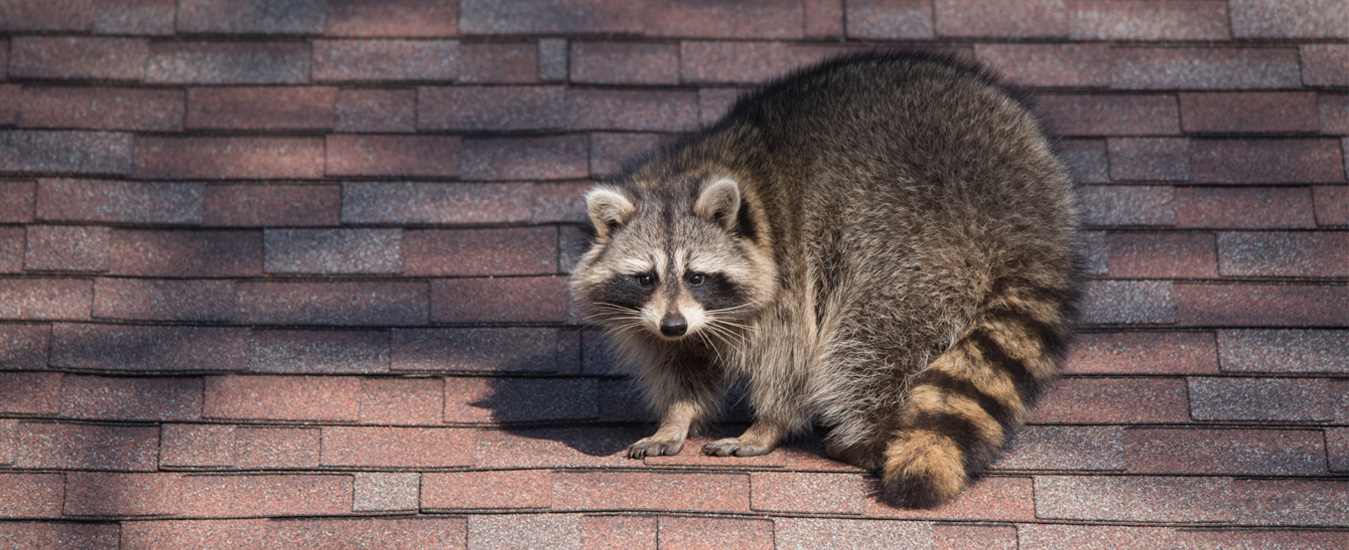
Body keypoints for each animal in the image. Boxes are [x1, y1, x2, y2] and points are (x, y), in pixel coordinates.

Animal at [569, 51, 1084, 506]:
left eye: (697, 276)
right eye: (645, 278)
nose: (674, 325)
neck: (687, 172)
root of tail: (1029, 222)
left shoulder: (791, 274)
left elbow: (792, 357)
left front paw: (767, 425)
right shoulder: (662, 319)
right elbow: (683, 364)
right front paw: (676, 416)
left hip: (913, 240)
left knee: (872, 342)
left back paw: (869, 435)